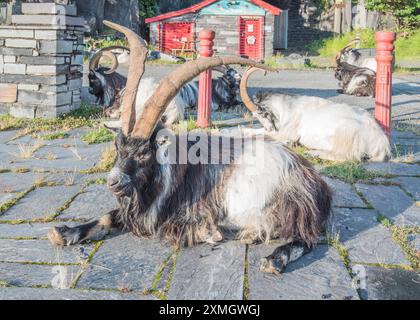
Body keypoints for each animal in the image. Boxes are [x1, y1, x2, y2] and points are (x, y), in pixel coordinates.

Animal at [49, 20, 332, 276]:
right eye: (118, 147)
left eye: (144, 152)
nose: (113, 182)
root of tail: (312, 183)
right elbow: (109, 216)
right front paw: (63, 232)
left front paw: (208, 232)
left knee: (306, 238)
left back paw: (272, 259)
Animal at [236, 68, 390, 162]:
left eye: (262, 115)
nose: (270, 127)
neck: (288, 107)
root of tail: (381, 143)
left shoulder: (287, 132)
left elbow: (263, 134)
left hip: (346, 131)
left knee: (348, 156)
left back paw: (312, 153)